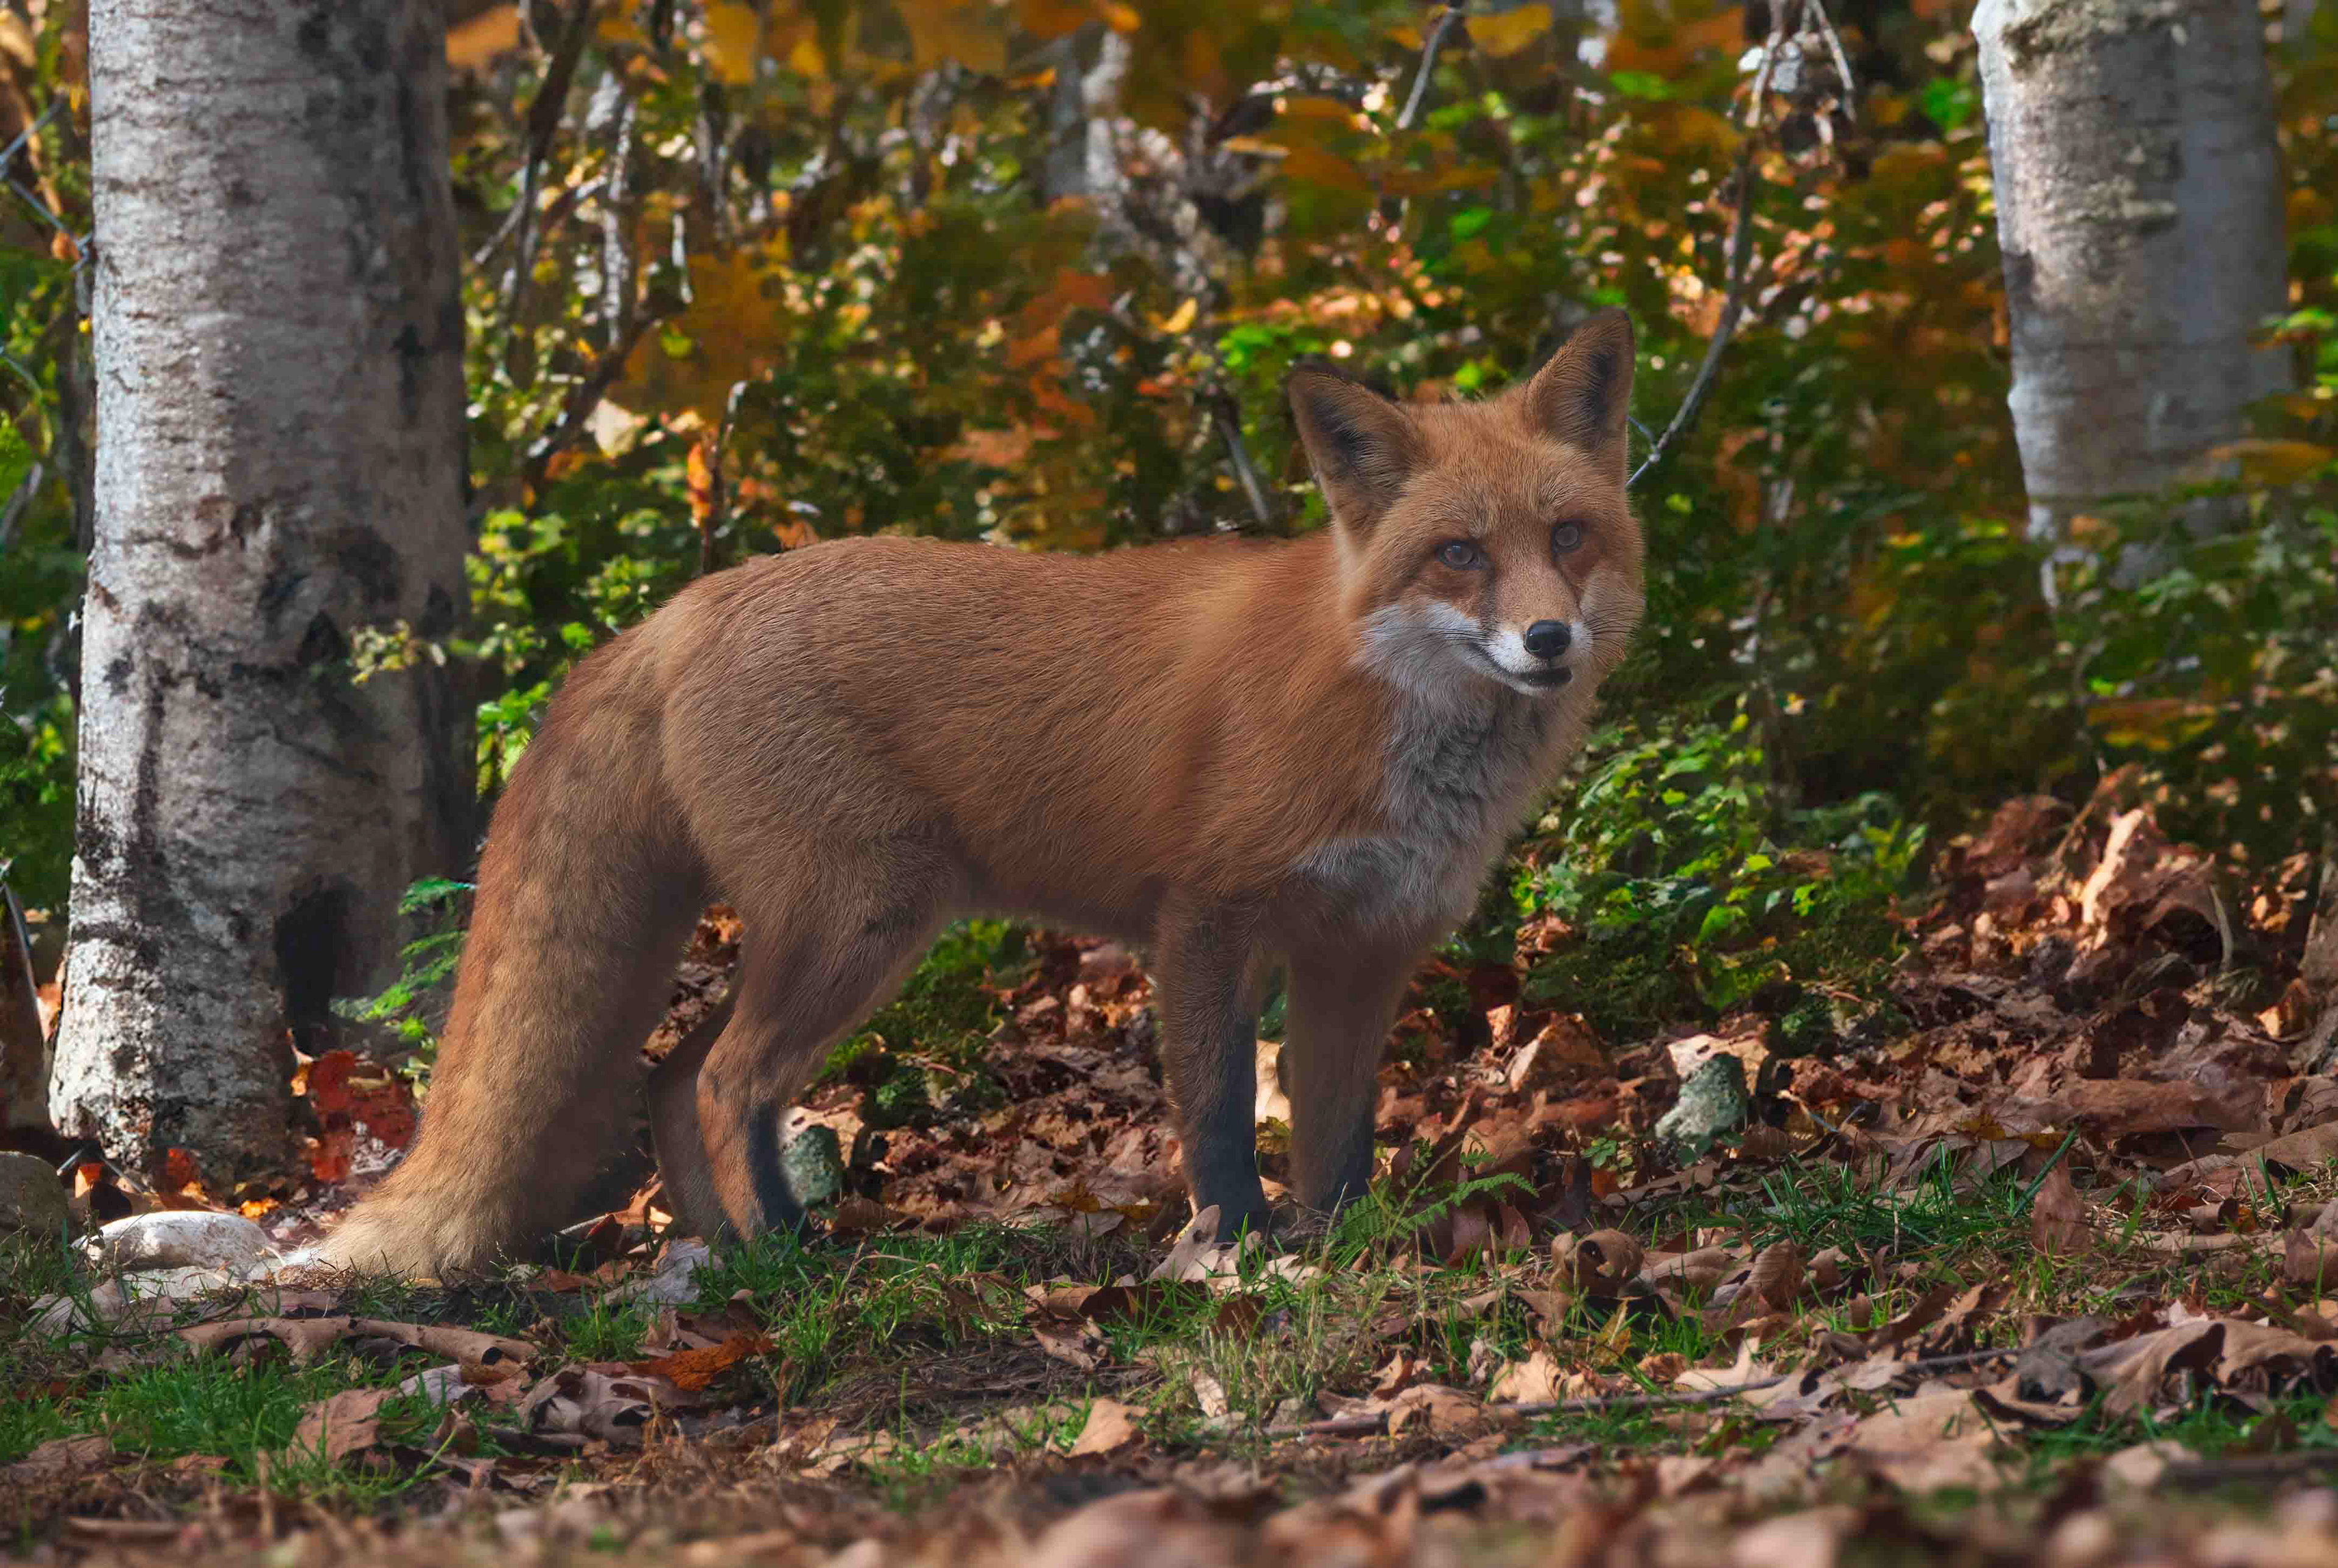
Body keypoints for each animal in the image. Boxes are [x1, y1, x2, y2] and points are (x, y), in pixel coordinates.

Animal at [318, 309, 1644, 1278]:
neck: (1374, 704)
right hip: (863, 921)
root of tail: (682, 607)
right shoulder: (1205, 917)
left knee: (669, 1075)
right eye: (1458, 555)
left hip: (828, 930)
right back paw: (797, 1256)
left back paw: (734, 1256)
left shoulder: (1362, 950)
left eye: (1568, 537)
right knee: (725, 1077)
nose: (1548, 640)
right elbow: (1219, 1112)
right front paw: (1235, 1248)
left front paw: (1348, 1243)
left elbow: (1339, 1131)